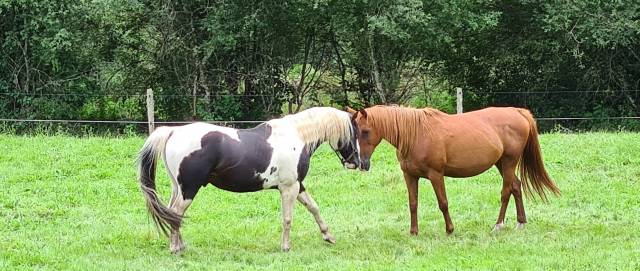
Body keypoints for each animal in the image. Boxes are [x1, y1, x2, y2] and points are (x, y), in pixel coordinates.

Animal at [137, 107, 360, 254]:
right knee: (175, 214)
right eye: (355, 133)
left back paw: (179, 245)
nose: (356, 162)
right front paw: (285, 247)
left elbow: (314, 208)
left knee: (171, 214)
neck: (297, 136)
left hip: (178, 188)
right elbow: (288, 218)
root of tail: (173, 131)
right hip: (189, 190)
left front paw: (328, 236)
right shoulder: (289, 187)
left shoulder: (298, 185)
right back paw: (175, 249)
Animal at [350, 105, 560, 236]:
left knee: (506, 191)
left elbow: (443, 203)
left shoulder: (436, 175)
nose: (361, 163)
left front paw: (450, 229)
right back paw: (521, 222)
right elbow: (413, 204)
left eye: (365, 131)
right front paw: (414, 232)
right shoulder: (409, 176)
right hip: (501, 164)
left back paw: (498, 225)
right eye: (354, 132)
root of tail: (518, 111)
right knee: (516, 186)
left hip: (509, 162)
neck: (416, 135)